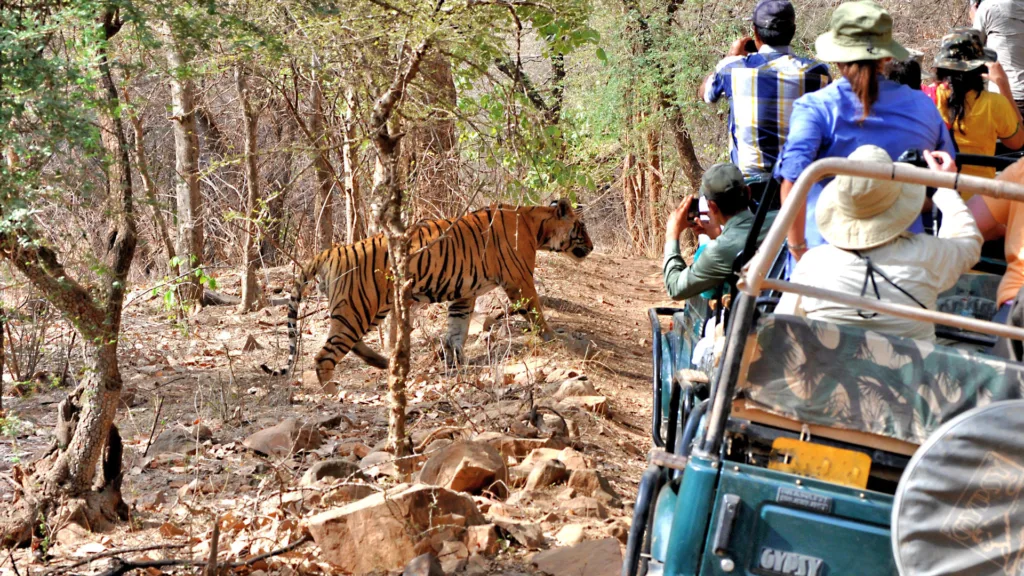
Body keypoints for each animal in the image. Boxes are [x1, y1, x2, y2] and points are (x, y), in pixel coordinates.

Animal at [260, 199, 593, 384]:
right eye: (582, 228)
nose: (592, 247)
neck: (536, 225)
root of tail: (331, 251)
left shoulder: (465, 293)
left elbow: (457, 327)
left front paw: (455, 359)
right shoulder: (520, 279)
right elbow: (537, 311)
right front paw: (555, 338)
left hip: (365, 309)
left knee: (348, 344)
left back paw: (383, 362)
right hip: (359, 308)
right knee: (324, 357)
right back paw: (332, 394)